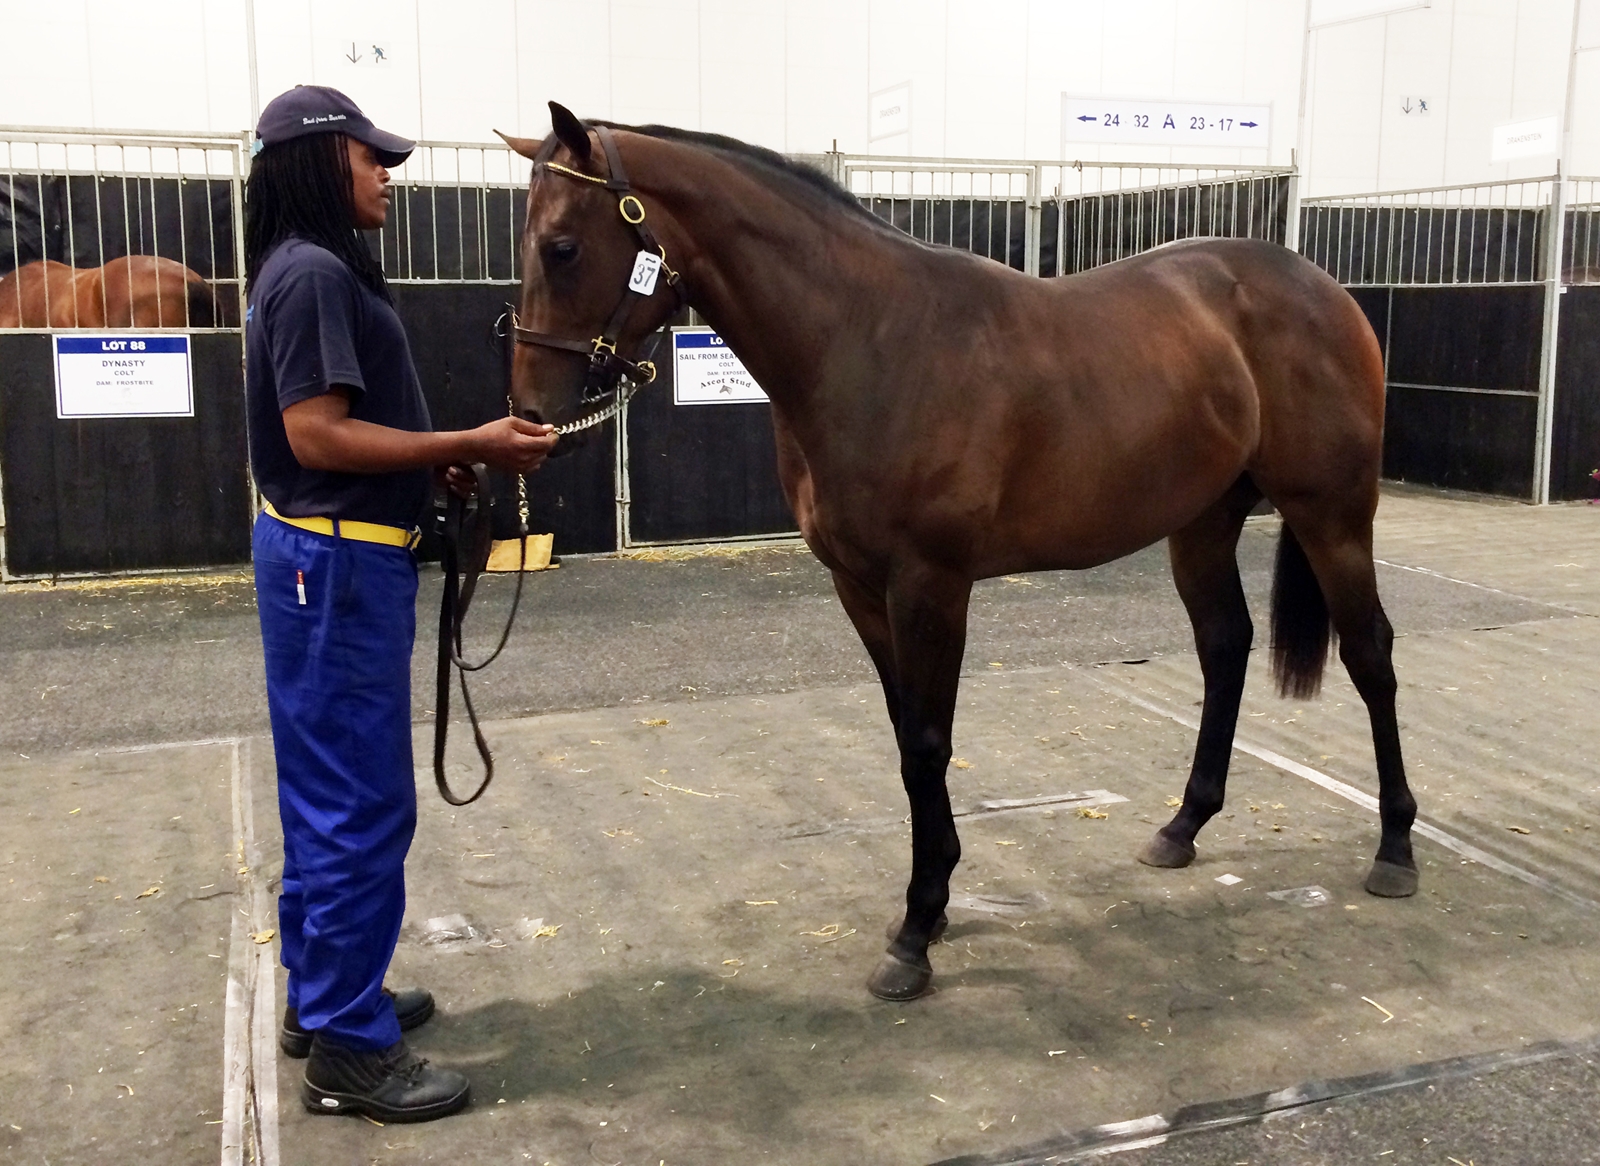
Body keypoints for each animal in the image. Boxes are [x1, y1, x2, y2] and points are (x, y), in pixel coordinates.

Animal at [500, 102, 1415, 1002]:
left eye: (563, 246)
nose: (532, 413)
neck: (869, 340)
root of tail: (1320, 288)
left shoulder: (930, 586)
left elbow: (928, 743)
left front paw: (915, 932)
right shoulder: (861, 589)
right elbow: (907, 734)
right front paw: (930, 908)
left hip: (1332, 514)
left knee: (1370, 653)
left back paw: (1396, 849)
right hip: (1200, 526)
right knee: (1226, 648)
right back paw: (1182, 825)